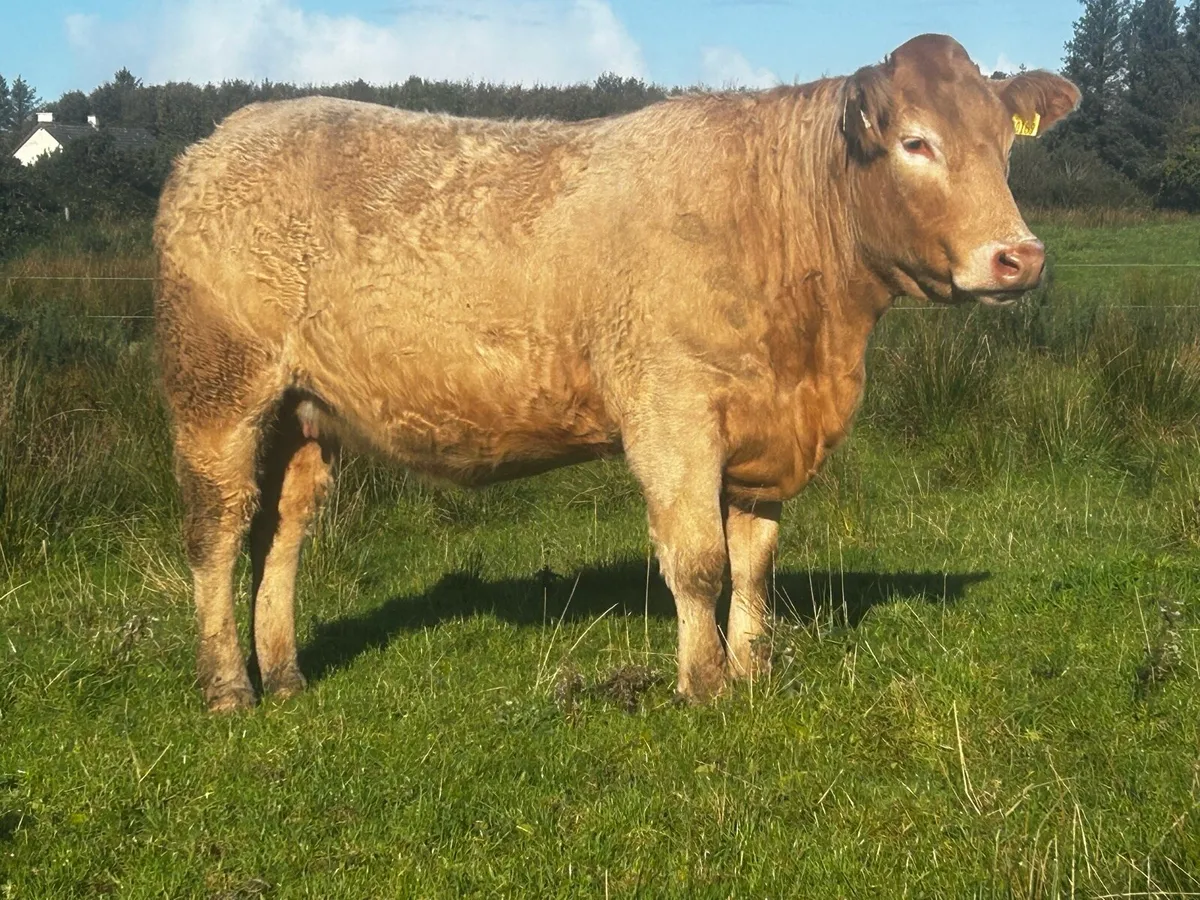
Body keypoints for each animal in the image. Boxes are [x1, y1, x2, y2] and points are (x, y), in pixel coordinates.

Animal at [154, 34, 1079, 712]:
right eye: (916, 142)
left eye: (1003, 144)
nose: (1020, 257)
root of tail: (218, 140)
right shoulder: (672, 411)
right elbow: (698, 559)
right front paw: (702, 685)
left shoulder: (762, 428)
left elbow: (754, 560)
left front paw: (753, 671)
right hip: (218, 391)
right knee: (216, 531)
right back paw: (229, 686)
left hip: (305, 413)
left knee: (281, 534)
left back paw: (285, 674)